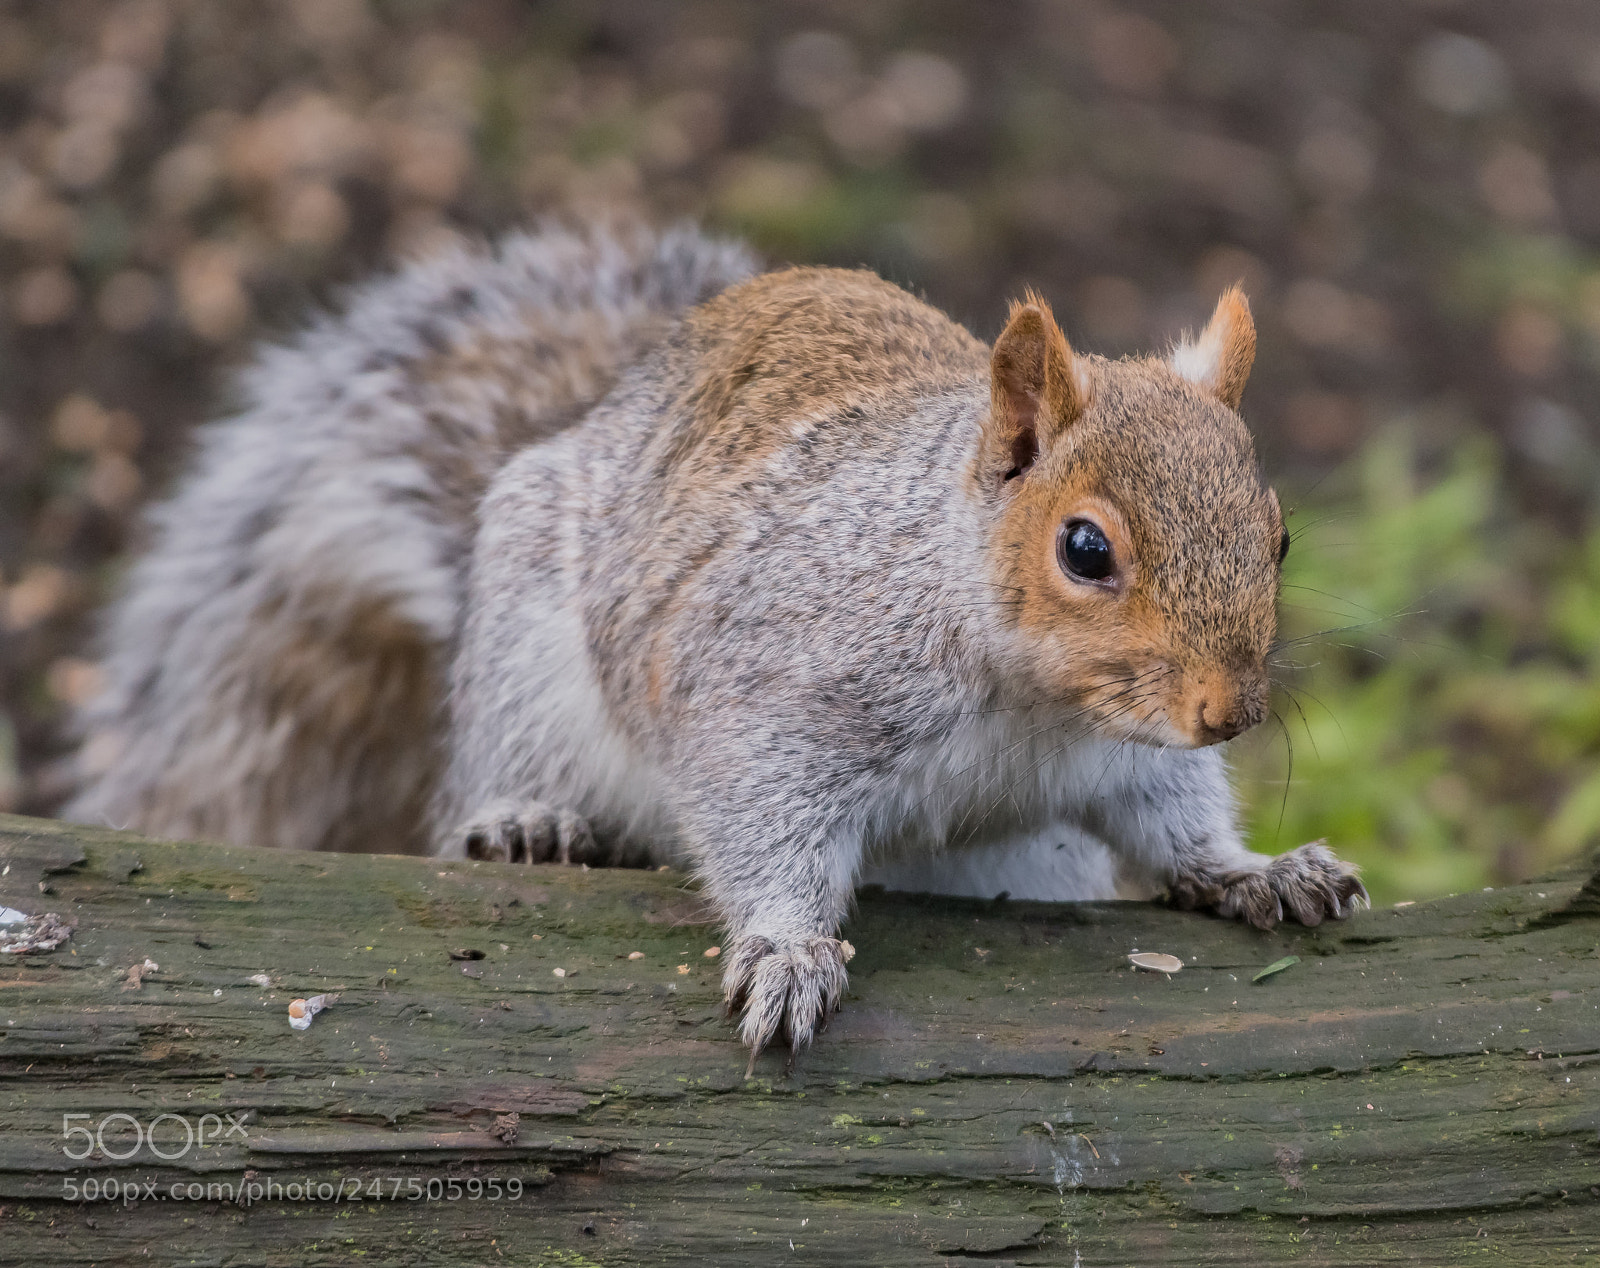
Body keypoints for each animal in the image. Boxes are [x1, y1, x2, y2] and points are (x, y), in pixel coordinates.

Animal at [67, 221, 1367, 1062]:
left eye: (1279, 533)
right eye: (1085, 548)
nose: (1230, 711)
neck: (1034, 702)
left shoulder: (1127, 759)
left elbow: (1175, 823)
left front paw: (1259, 869)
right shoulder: (775, 685)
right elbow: (756, 811)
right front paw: (788, 951)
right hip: (527, 662)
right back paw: (529, 821)